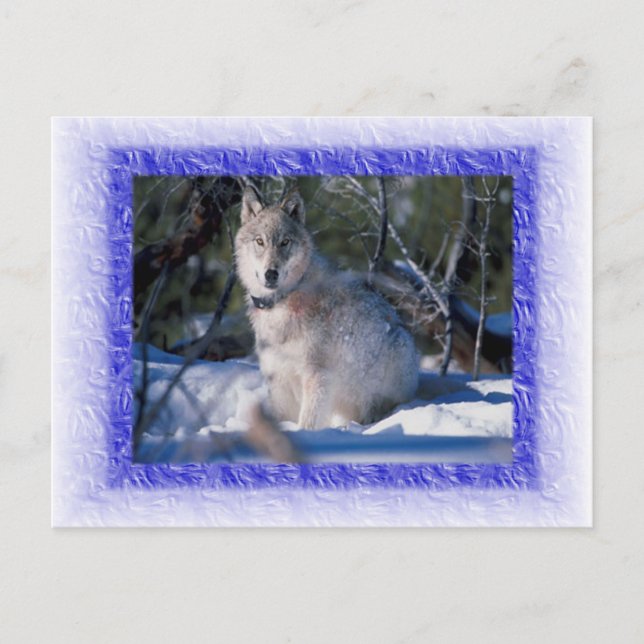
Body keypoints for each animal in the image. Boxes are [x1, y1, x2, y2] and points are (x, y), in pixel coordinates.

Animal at [234, 185, 419, 429]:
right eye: (259, 241)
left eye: (285, 242)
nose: (271, 274)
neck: (284, 300)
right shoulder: (278, 378)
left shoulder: (317, 375)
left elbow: (308, 422)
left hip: (395, 351)